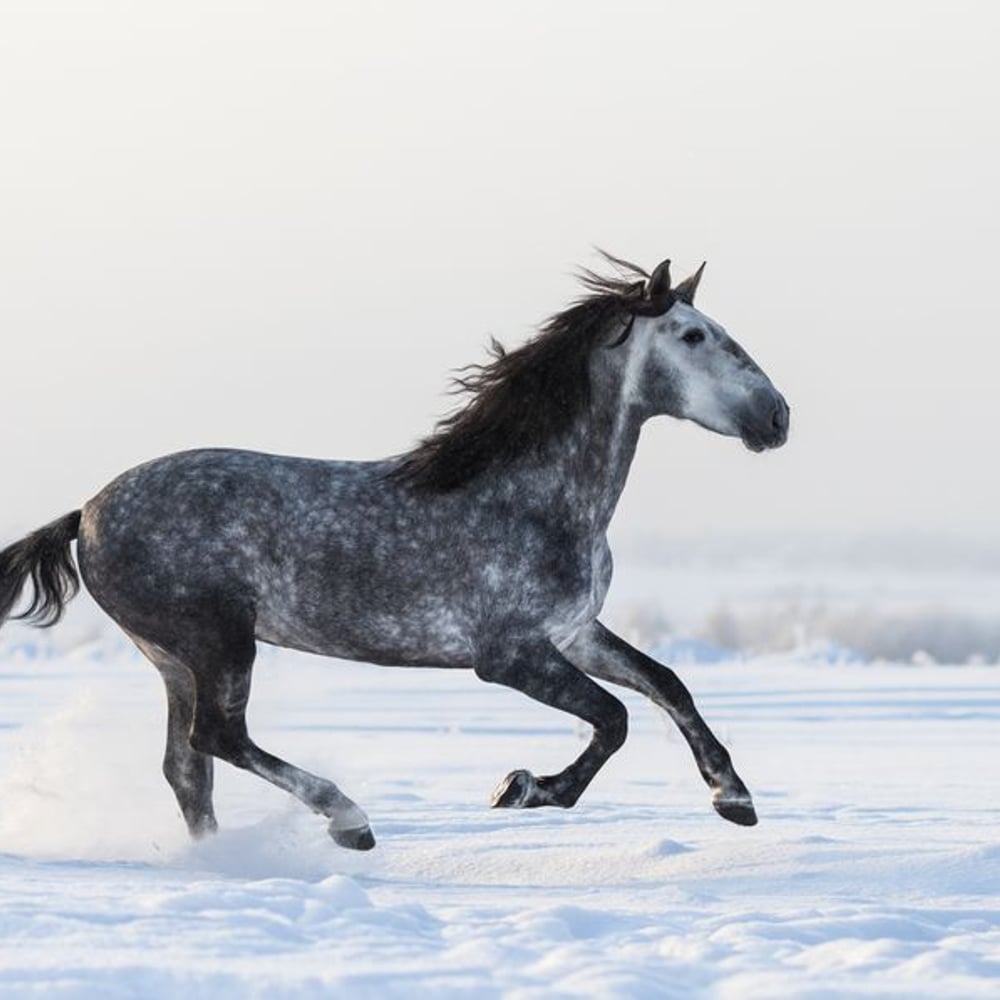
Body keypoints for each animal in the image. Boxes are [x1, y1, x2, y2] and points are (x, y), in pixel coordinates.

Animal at [0, 254, 789, 851]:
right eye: (693, 336)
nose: (777, 416)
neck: (535, 495)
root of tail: (87, 513)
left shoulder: (572, 632)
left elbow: (666, 685)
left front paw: (735, 798)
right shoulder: (508, 655)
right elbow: (615, 718)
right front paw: (522, 788)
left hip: (173, 659)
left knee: (187, 767)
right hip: (217, 641)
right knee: (218, 737)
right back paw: (349, 821)